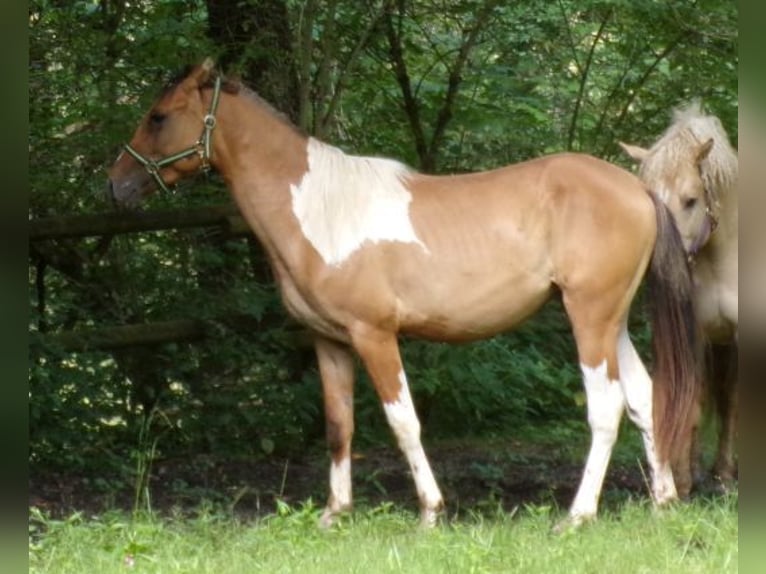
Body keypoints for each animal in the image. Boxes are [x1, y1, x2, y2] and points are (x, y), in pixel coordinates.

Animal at [108, 59, 704, 532]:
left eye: (158, 116)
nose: (115, 186)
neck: (321, 209)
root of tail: (638, 188)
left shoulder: (374, 336)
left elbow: (403, 422)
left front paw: (430, 512)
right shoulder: (329, 342)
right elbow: (339, 425)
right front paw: (335, 513)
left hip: (589, 319)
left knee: (605, 407)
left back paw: (578, 516)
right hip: (611, 321)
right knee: (644, 397)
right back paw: (663, 503)